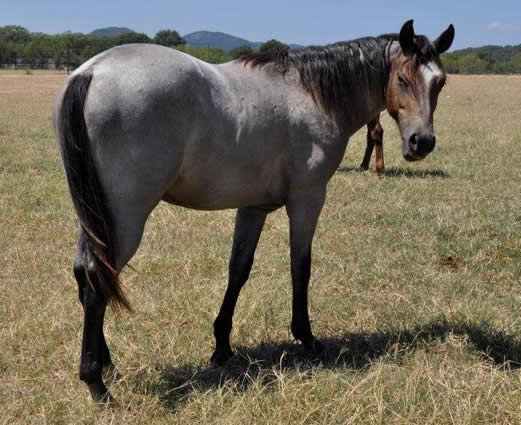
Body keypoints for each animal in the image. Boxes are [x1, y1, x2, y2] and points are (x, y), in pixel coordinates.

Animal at [53, 19, 456, 400]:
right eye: (402, 78)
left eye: (440, 83)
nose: (421, 142)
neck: (311, 94)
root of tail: (92, 71)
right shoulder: (308, 198)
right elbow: (300, 267)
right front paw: (306, 337)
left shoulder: (253, 207)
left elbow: (238, 271)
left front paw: (222, 346)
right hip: (126, 218)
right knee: (97, 279)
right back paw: (96, 382)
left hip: (96, 216)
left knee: (87, 274)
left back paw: (108, 365)